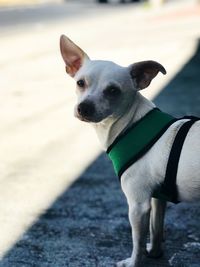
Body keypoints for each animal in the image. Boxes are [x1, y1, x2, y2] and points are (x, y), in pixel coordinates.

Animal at [59, 35, 200, 267]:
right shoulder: (157, 199)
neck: (132, 123)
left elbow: (137, 242)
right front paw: (155, 253)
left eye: (113, 91)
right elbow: (156, 229)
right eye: (80, 83)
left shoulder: (138, 205)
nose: (84, 107)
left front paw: (134, 262)